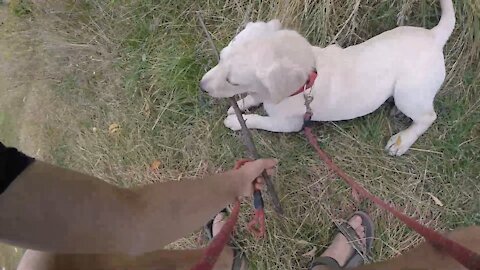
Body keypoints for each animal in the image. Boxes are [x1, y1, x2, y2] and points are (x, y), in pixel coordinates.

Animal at [199, 0, 454, 156]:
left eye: (233, 81)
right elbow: (256, 96)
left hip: (407, 93)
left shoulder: (288, 124)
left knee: (428, 116)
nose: (201, 86)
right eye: (220, 57)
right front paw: (241, 104)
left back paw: (402, 140)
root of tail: (434, 36)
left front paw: (237, 120)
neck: (307, 80)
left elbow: (260, 120)